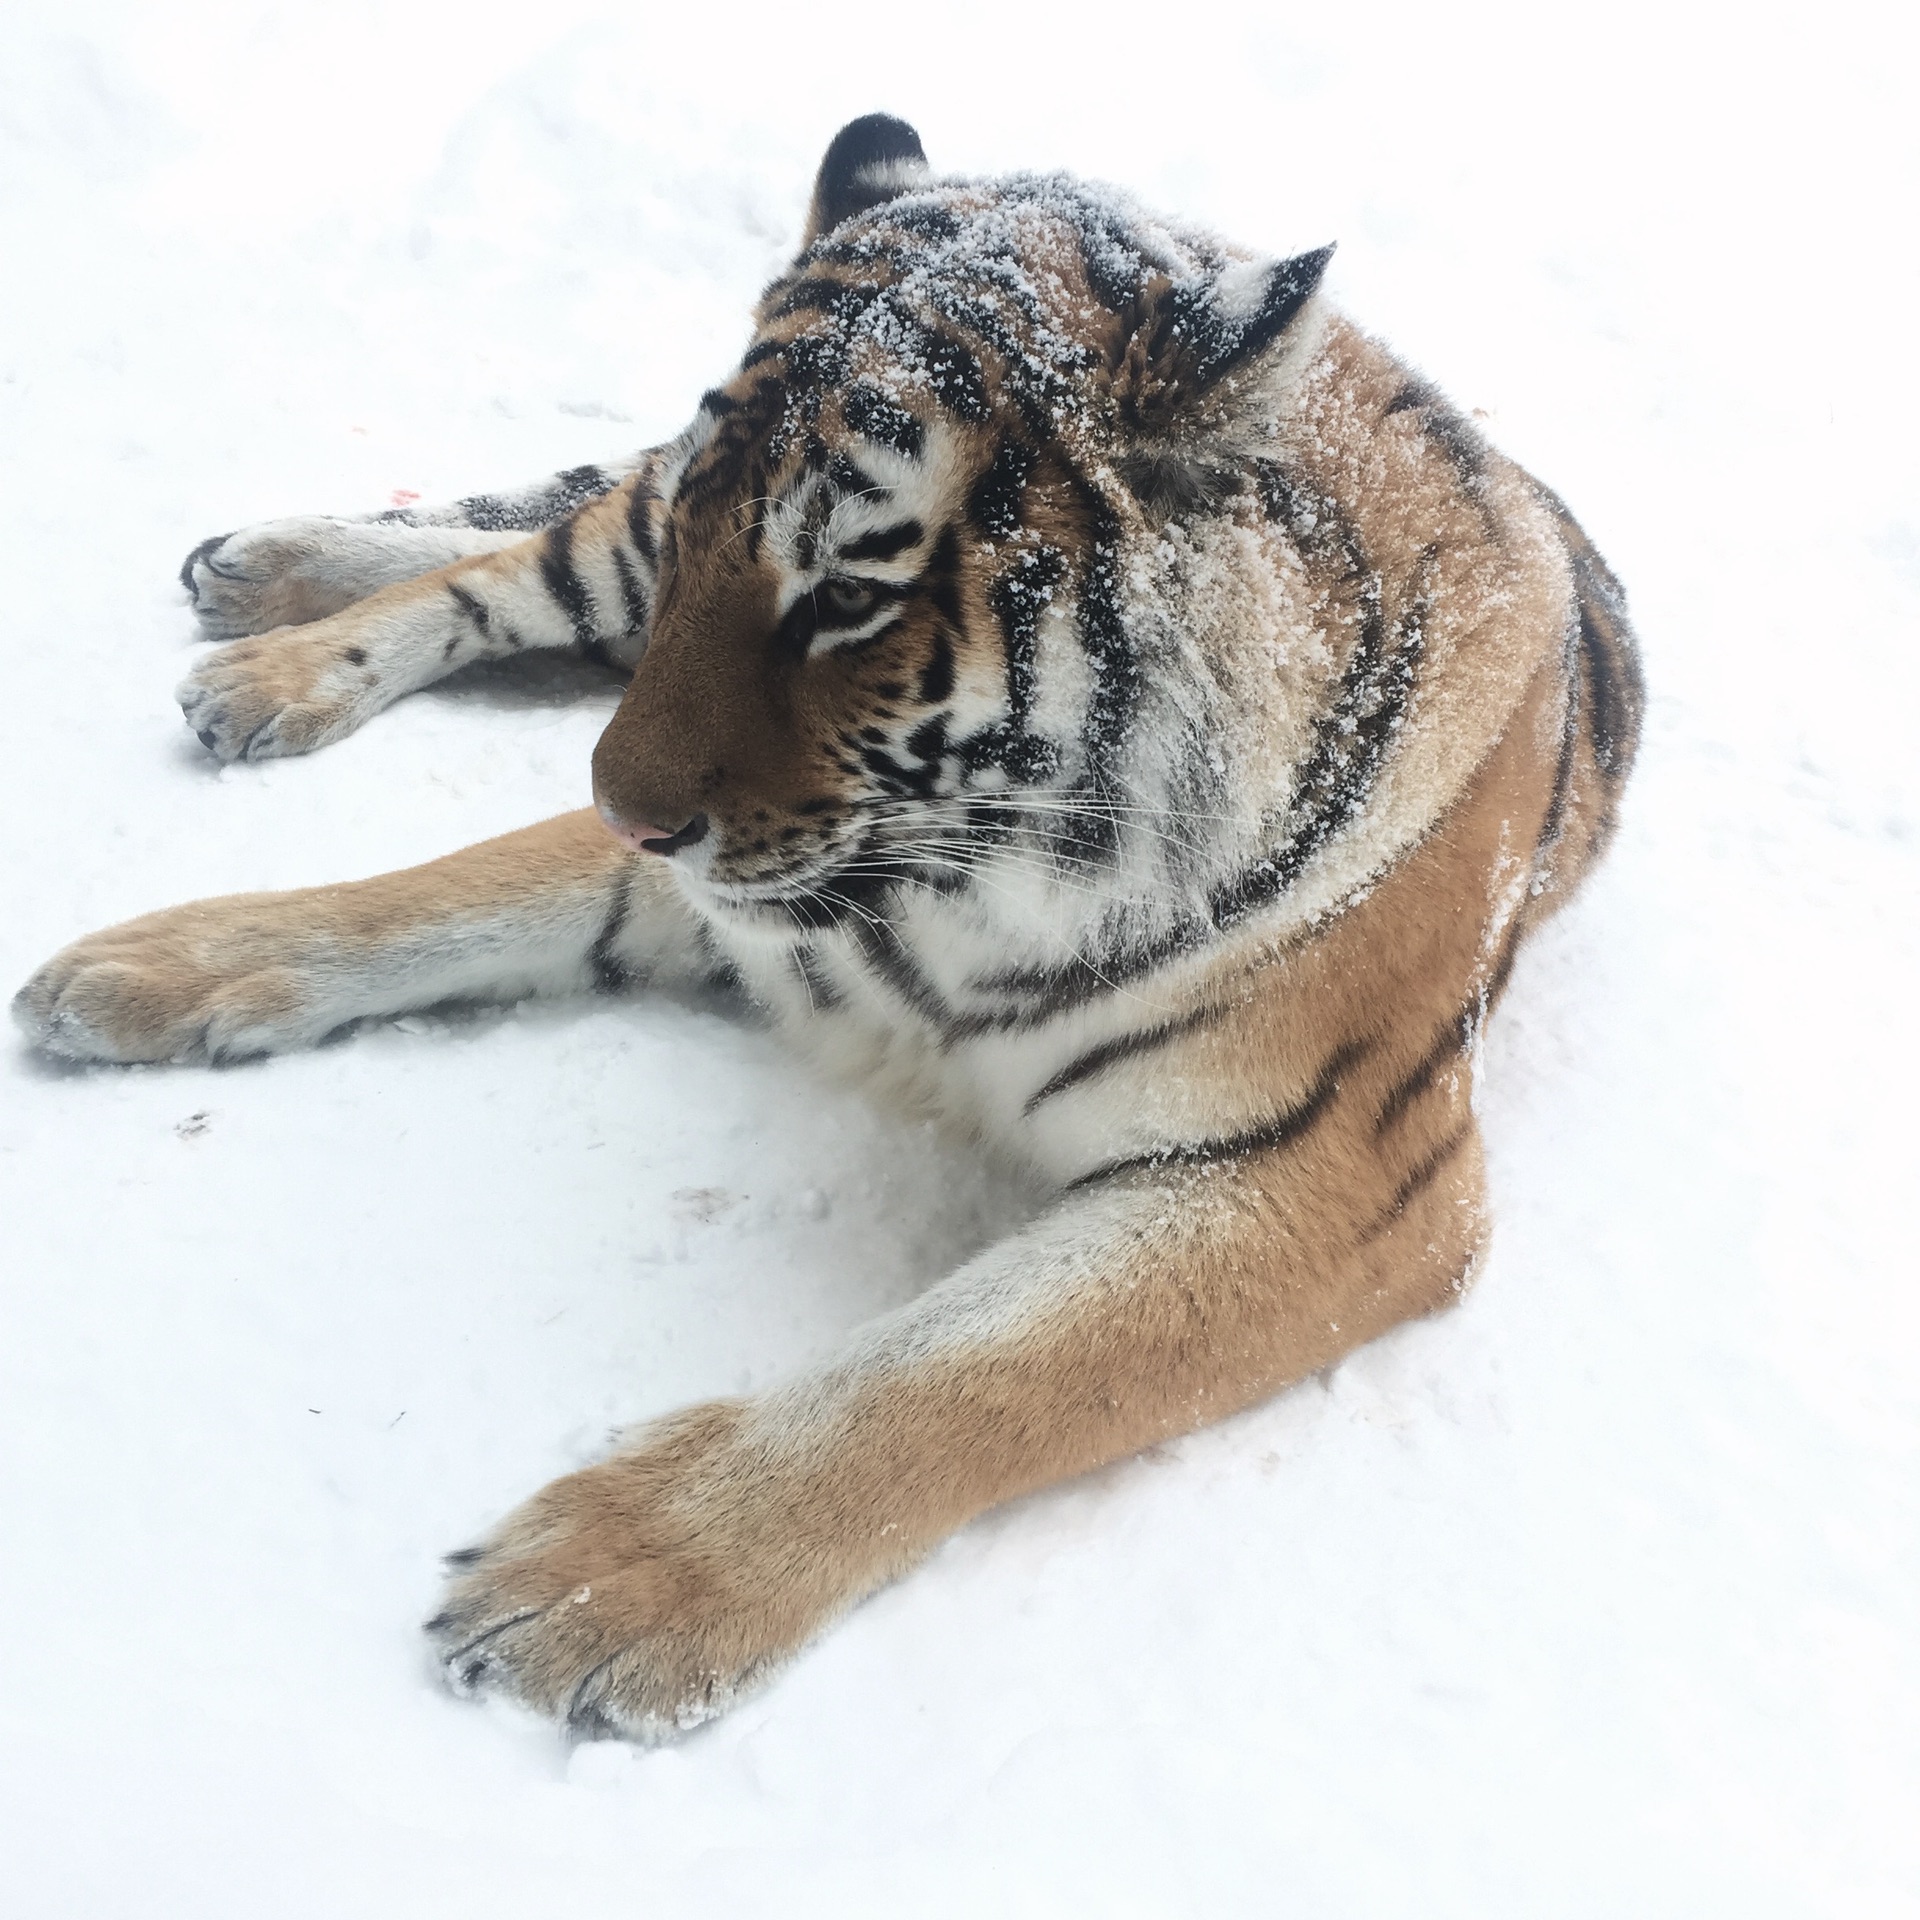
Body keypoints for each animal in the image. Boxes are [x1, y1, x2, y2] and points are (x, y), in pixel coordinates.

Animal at [11, 112, 1635, 1751]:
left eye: (849, 595)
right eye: (700, 551)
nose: (619, 808)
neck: (978, 877)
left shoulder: (1331, 1177)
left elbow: (962, 1369)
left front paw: (606, 1583)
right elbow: (431, 894)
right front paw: (153, 961)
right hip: (603, 553)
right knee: (512, 560)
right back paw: (269, 631)